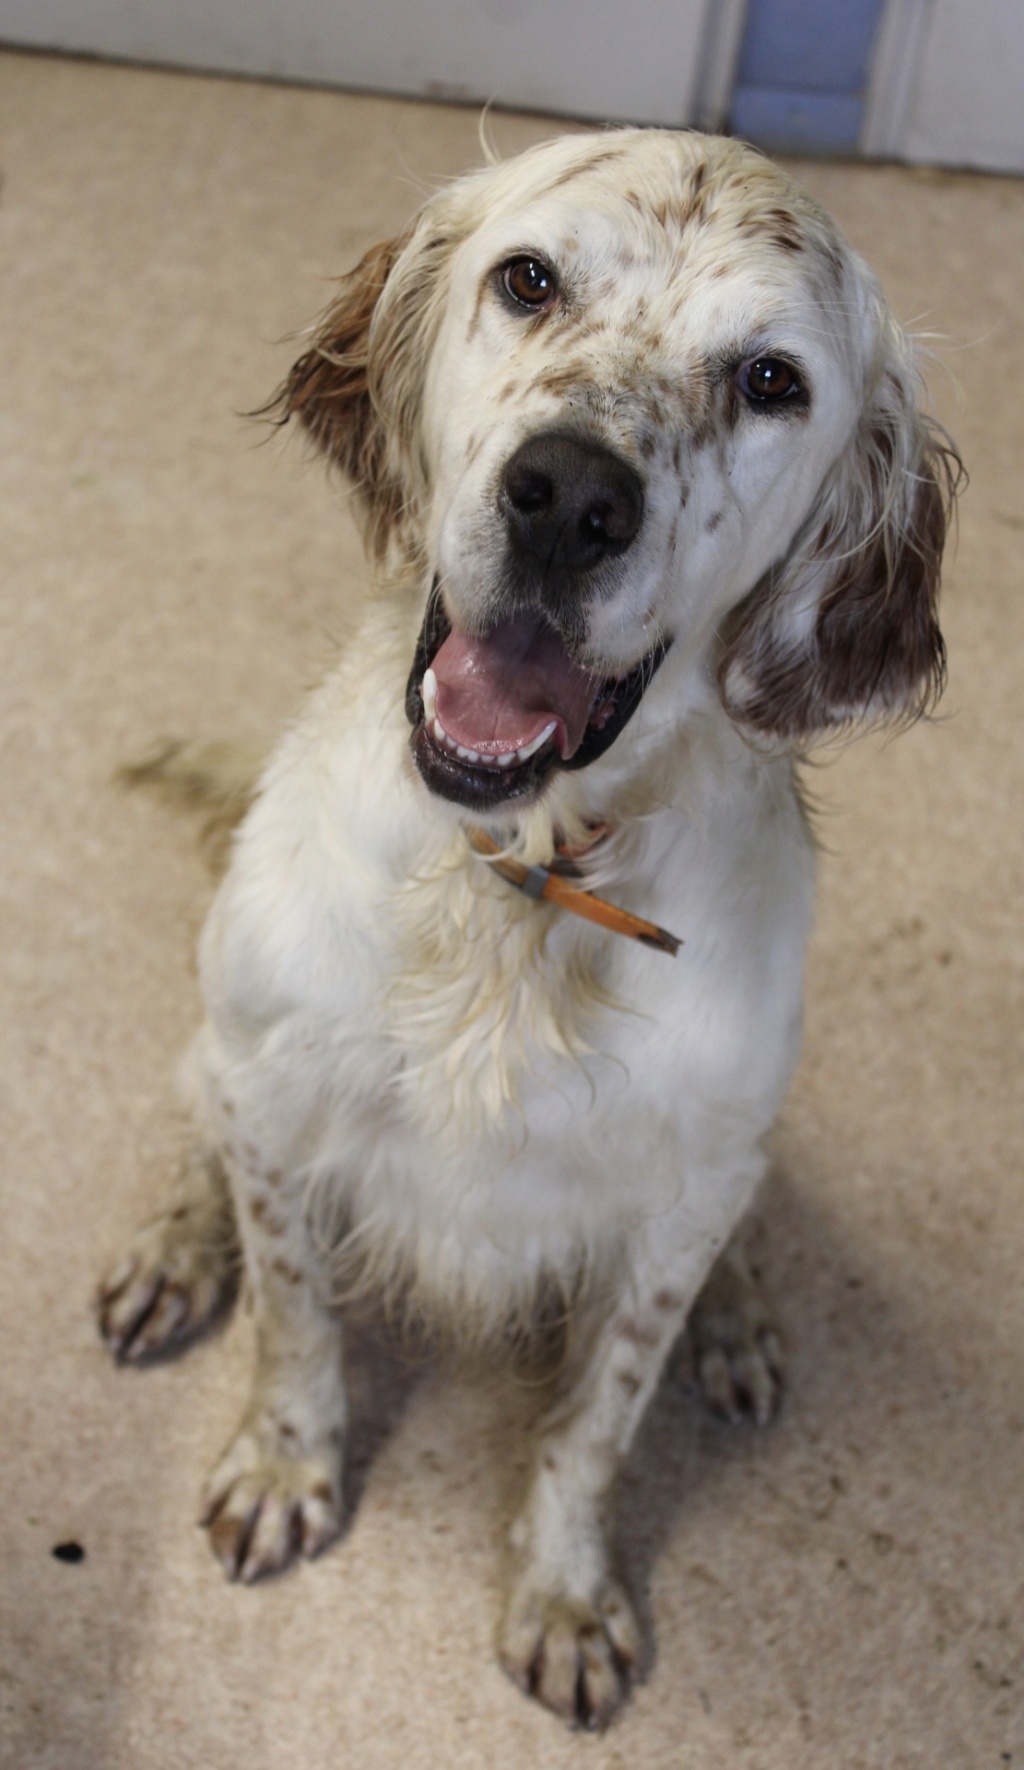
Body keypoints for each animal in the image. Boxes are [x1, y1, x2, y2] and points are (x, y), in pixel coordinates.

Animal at [98, 128, 962, 1727]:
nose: (567, 497)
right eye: (529, 282)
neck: (520, 883)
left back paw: (740, 1324)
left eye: (771, 380)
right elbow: (294, 1306)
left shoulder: (672, 1201)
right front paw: (284, 1462)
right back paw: (177, 1252)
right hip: (225, 1041)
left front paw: (563, 1593)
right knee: (204, 1133)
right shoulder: (279, 1089)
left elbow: (597, 1417)